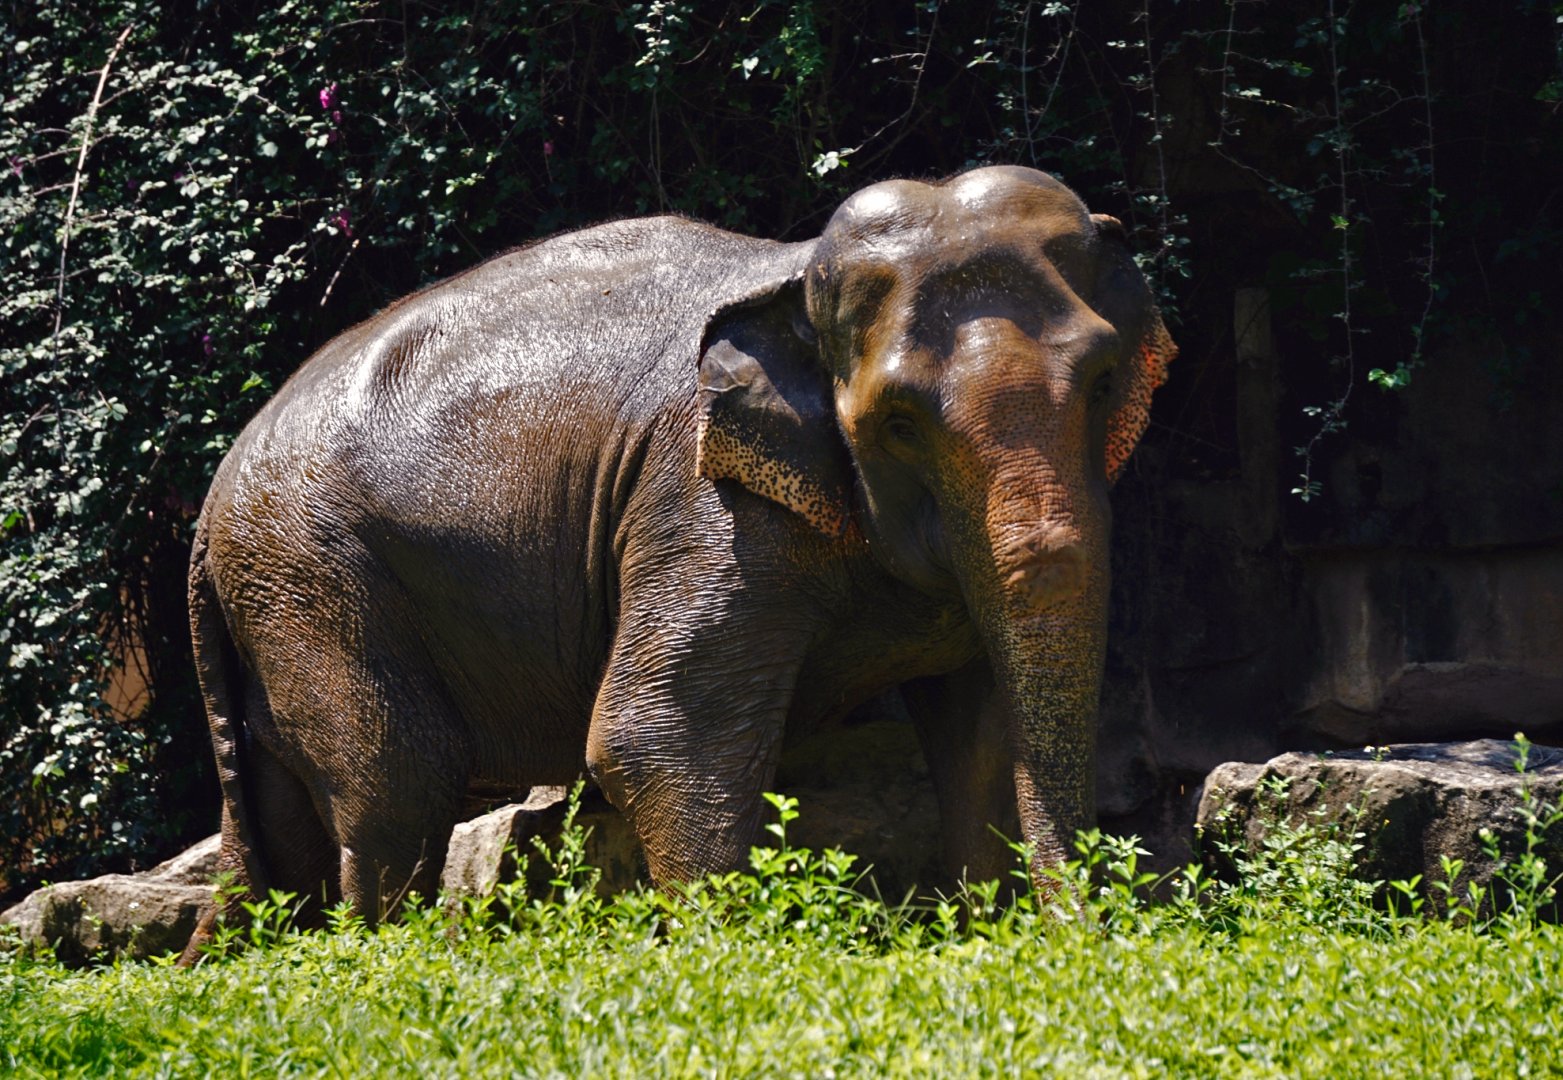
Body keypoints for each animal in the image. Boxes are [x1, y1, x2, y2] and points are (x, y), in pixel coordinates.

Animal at [180, 165, 1173, 955]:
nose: (1087, 942)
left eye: (1103, 382)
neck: (794, 269)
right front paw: (730, 959)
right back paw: (386, 961)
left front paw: (989, 935)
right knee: (396, 789)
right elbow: (657, 733)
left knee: (282, 821)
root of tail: (209, 505)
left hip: (279, 597)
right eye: (896, 422)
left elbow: (979, 728)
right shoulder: (696, 501)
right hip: (315, 577)